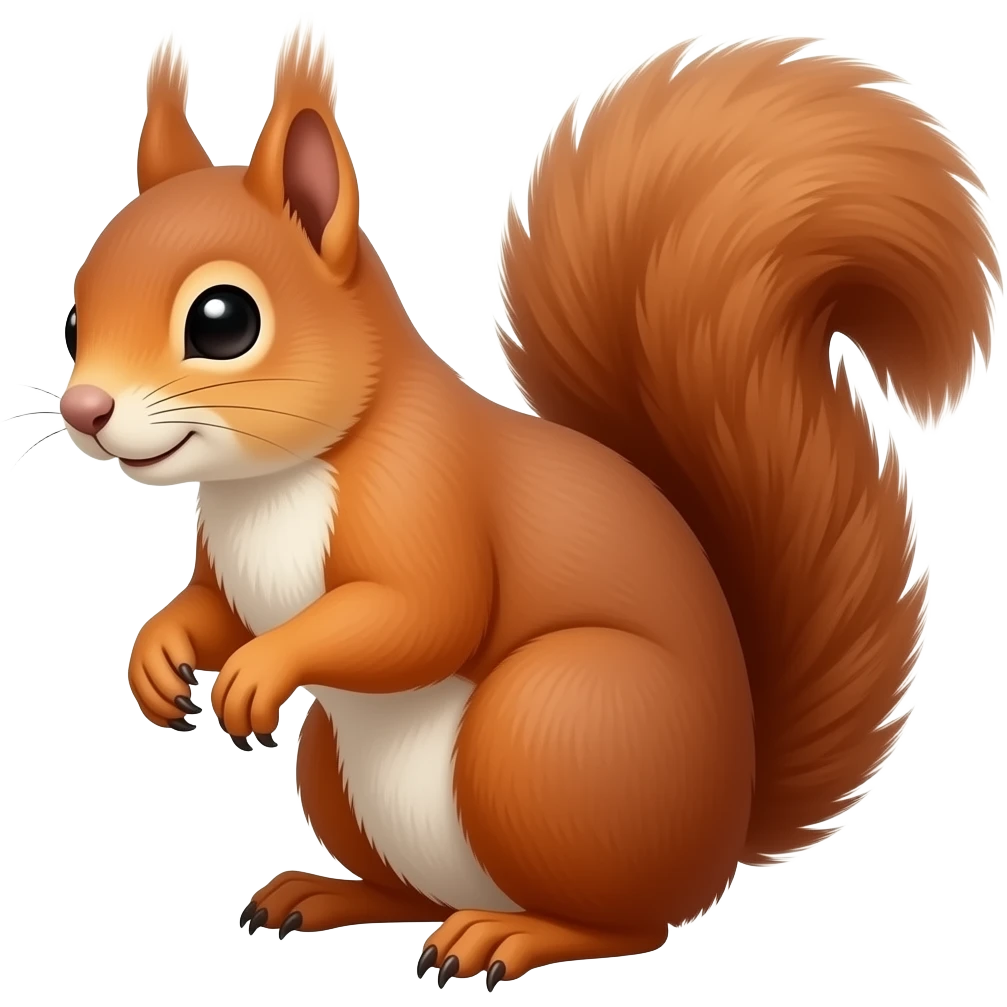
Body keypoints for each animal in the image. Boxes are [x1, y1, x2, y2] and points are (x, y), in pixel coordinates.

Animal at [59, 17, 998, 989]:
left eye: (223, 321)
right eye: (75, 318)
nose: (83, 410)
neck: (270, 484)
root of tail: (722, 836)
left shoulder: (427, 496)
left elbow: (424, 614)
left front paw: (259, 671)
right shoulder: (229, 567)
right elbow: (213, 610)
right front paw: (156, 656)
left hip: (552, 726)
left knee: (628, 922)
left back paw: (506, 936)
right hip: (346, 772)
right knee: (413, 892)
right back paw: (326, 894)